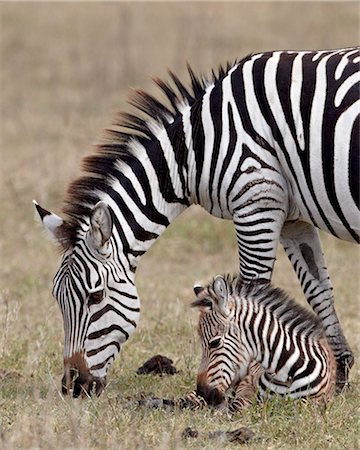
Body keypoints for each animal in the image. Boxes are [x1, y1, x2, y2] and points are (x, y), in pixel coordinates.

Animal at [33, 46, 358, 398]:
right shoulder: (291, 217)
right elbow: (318, 289)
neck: (198, 146)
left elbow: (253, 288)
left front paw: (252, 381)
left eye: (95, 296)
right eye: (57, 299)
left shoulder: (256, 200)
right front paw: (337, 376)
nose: (73, 386)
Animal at [193, 274, 336, 412]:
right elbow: (238, 405)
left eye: (215, 343)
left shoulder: (312, 403)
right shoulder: (247, 385)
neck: (286, 372)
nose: (203, 394)